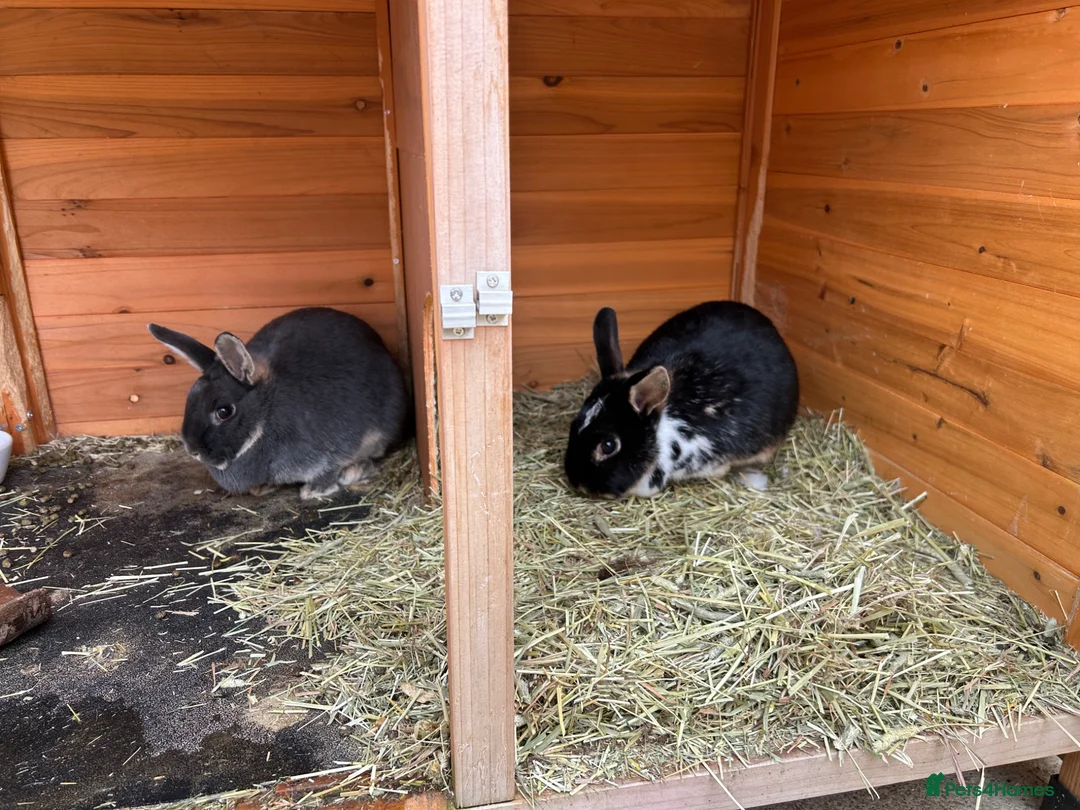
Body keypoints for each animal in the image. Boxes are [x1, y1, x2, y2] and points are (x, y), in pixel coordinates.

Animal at [148, 307, 409, 501]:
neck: (266, 415)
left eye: (224, 411)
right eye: (190, 398)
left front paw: (314, 490)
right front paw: (261, 488)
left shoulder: (337, 446)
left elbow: (331, 467)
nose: (193, 450)